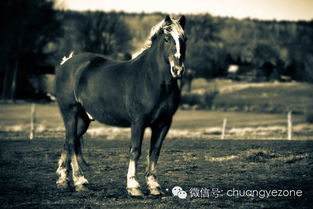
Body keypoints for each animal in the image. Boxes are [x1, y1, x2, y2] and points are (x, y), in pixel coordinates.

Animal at [54, 14, 185, 196]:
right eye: (166, 39)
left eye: (183, 39)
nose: (178, 69)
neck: (150, 79)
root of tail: (66, 63)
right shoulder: (138, 122)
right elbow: (135, 150)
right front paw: (133, 186)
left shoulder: (163, 123)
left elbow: (154, 152)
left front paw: (153, 185)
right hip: (70, 113)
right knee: (72, 143)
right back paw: (80, 181)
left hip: (83, 120)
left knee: (68, 142)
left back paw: (64, 181)